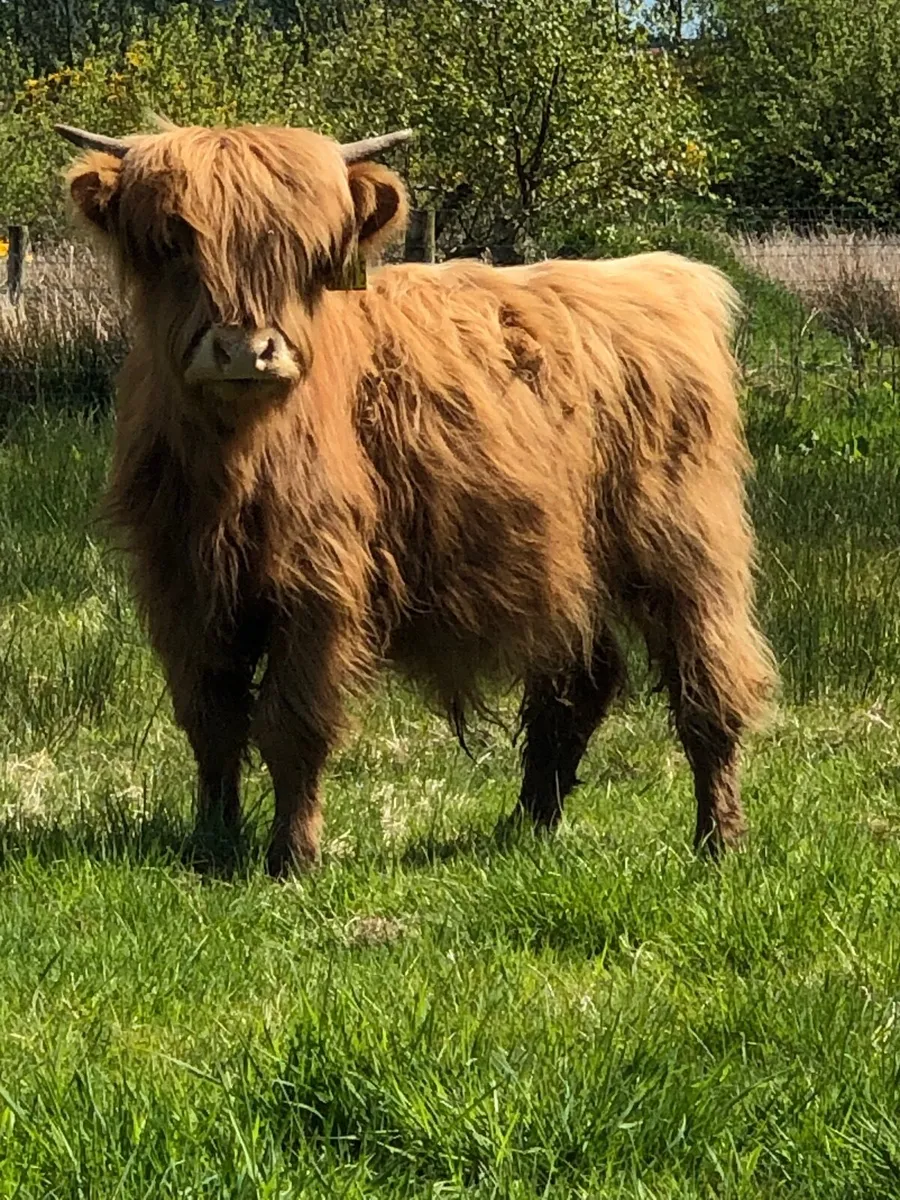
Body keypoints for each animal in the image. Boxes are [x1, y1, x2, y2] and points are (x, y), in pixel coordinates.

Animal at [55, 119, 776, 876]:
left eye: (305, 253)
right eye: (174, 243)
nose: (246, 350)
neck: (236, 463)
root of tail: (663, 275)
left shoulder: (320, 583)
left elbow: (292, 722)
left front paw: (291, 858)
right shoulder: (179, 585)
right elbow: (211, 720)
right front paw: (212, 844)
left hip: (685, 545)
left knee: (708, 686)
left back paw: (718, 839)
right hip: (562, 565)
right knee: (579, 682)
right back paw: (526, 825)